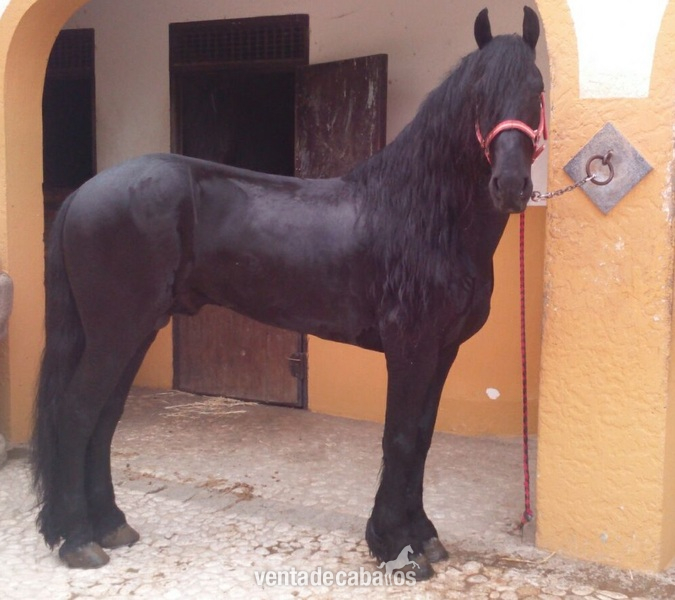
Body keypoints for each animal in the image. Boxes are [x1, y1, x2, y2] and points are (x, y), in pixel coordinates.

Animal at [31, 7, 545, 579]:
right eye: (480, 92)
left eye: (537, 88)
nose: (511, 185)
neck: (422, 217)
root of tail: (83, 193)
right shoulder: (410, 348)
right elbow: (401, 437)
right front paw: (396, 543)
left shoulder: (444, 350)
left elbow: (423, 438)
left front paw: (422, 536)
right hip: (115, 332)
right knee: (78, 413)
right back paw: (78, 539)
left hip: (135, 331)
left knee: (105, 417)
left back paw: (110, 525)